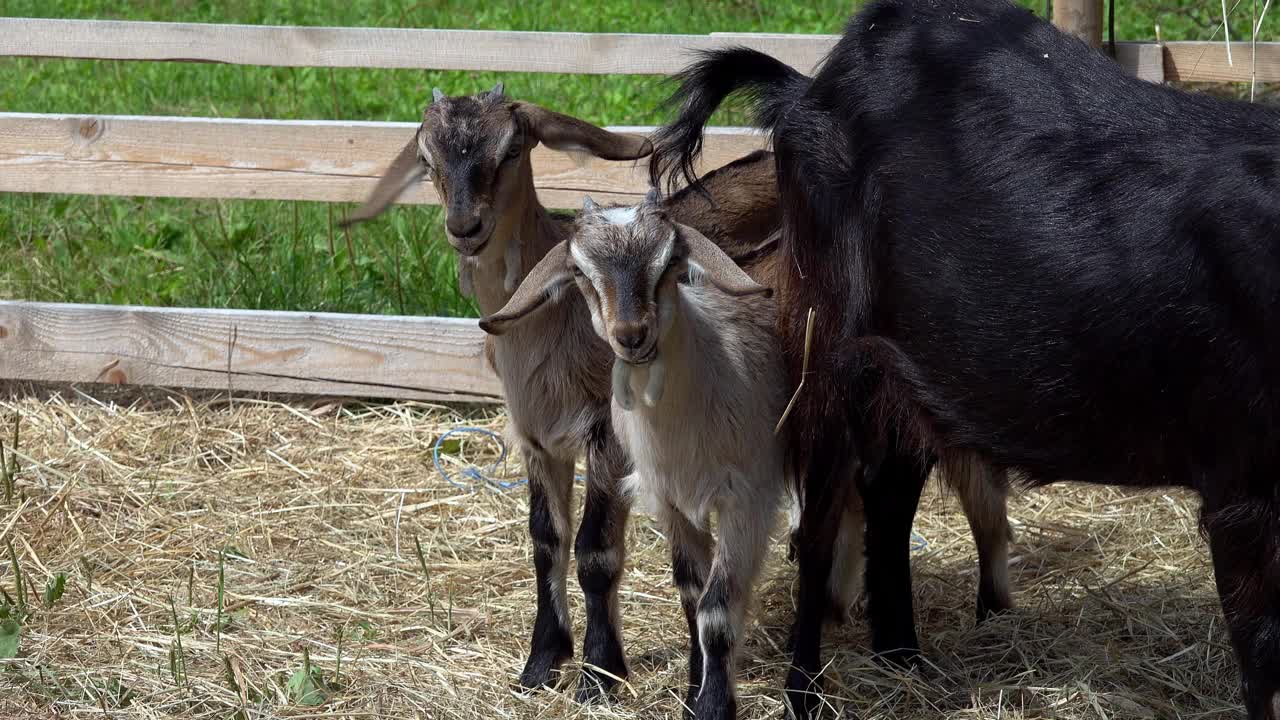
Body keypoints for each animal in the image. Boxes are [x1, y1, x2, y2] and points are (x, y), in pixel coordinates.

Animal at [655, 1, 1280, 717]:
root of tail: (810, 85)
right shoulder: (1242, 478)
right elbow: (1262, 650)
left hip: (916, 373)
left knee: (888, 498)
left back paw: (904, 660)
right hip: (827, 338)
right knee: (817, 527)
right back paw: (806, 693)